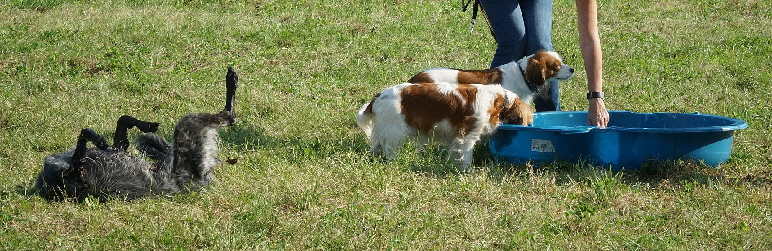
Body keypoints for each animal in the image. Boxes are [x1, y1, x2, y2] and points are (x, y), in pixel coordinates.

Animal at [34, 66, 238, 202]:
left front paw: (145, 124)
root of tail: (199, 181)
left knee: (148, 141)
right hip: (188, 126)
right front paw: (99, 140)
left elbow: (123, 120)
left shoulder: (118, 148)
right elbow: (86, 133)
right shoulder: (77, 171)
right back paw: (231, 80)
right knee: (228, 115)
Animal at [356, 82, 532, 167]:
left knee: (377, 147)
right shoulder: (468, 134)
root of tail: (378, 96)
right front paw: (466, 171)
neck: (500, 101)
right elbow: (466, 155)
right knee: (389, 150)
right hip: (395, 133)